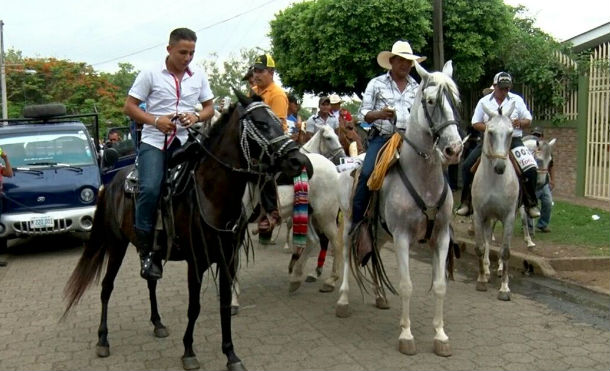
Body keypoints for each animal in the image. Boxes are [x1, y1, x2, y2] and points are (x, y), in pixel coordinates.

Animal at [64, 92, 306, 371]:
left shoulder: (228, 259)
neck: (210, 193)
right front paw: (189, 351)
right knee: (106, 287)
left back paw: (157, 323)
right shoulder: (196, 262)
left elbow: (225, 304)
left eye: (278, 121)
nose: (298, 160)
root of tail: (111, 182)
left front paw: (230, 354)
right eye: (261, 123)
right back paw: (103, 339)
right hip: (116, 244)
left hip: (150, 251)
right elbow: (194, 307)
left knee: (150, 281)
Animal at [332, 61, 460, 358]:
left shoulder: (441, 237)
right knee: (346, 253)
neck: (423, 179)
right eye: (431, 101)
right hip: (351, 221)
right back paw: (343, 301)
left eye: (456, 100)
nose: (454, 149)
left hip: (380, 230)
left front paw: (441, 336)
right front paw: (406, 335)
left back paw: (380, 295)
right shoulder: (402, 236)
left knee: (374, 253)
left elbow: (440, 286)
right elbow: (406, 286)